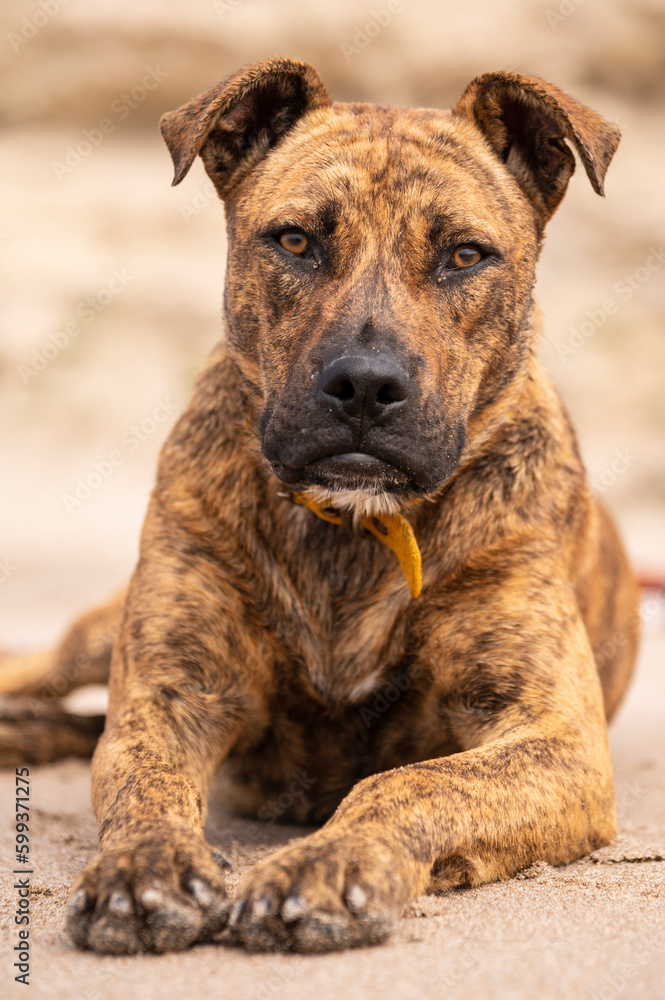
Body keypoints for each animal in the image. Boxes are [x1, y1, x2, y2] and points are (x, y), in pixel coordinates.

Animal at [3, 56, 640, 952]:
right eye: (296, 240)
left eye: (465, 254)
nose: (366, 386)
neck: (356, 528)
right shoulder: (170, 692)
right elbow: (145, 783)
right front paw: (143, 869)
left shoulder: (553, 737)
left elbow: (406, 784)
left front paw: (323, 867)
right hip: (94, 637)